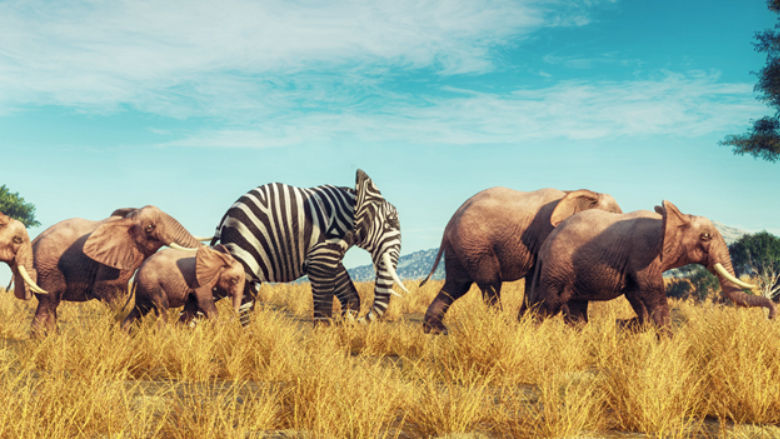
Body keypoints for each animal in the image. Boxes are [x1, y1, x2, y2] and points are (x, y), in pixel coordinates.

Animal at [31, 206, 202, 334]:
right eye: (149, 227)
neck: (127, 220)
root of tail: (34, 240)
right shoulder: (108, 263)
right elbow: (107, 290)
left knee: (51, 304)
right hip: (48, 267)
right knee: (50, 301)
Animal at [210, 169, 408, 325]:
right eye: (391, 222)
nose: (356, 321)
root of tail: (224, 219)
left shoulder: (330, 250)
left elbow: (350, 294)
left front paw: (345, 324)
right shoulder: (323, 246)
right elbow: (323, 307)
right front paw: (323, 344)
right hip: (243, 247)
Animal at [419, 187, 623, 334]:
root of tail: (450, 221)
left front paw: (524, 325)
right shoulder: (547, 233)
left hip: (462, 245)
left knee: (457, 284)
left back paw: (435, 329)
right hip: (474, 241)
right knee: (490, 283)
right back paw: (500, 326)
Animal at [522, 200, 776, 328]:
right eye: (705, 237)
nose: (772, 317)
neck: (668, 220)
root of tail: (545, 247)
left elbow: (638, 298)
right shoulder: (643, 254)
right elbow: (653, 296)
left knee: (575, 310)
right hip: (558, 270)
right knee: (547, 306)